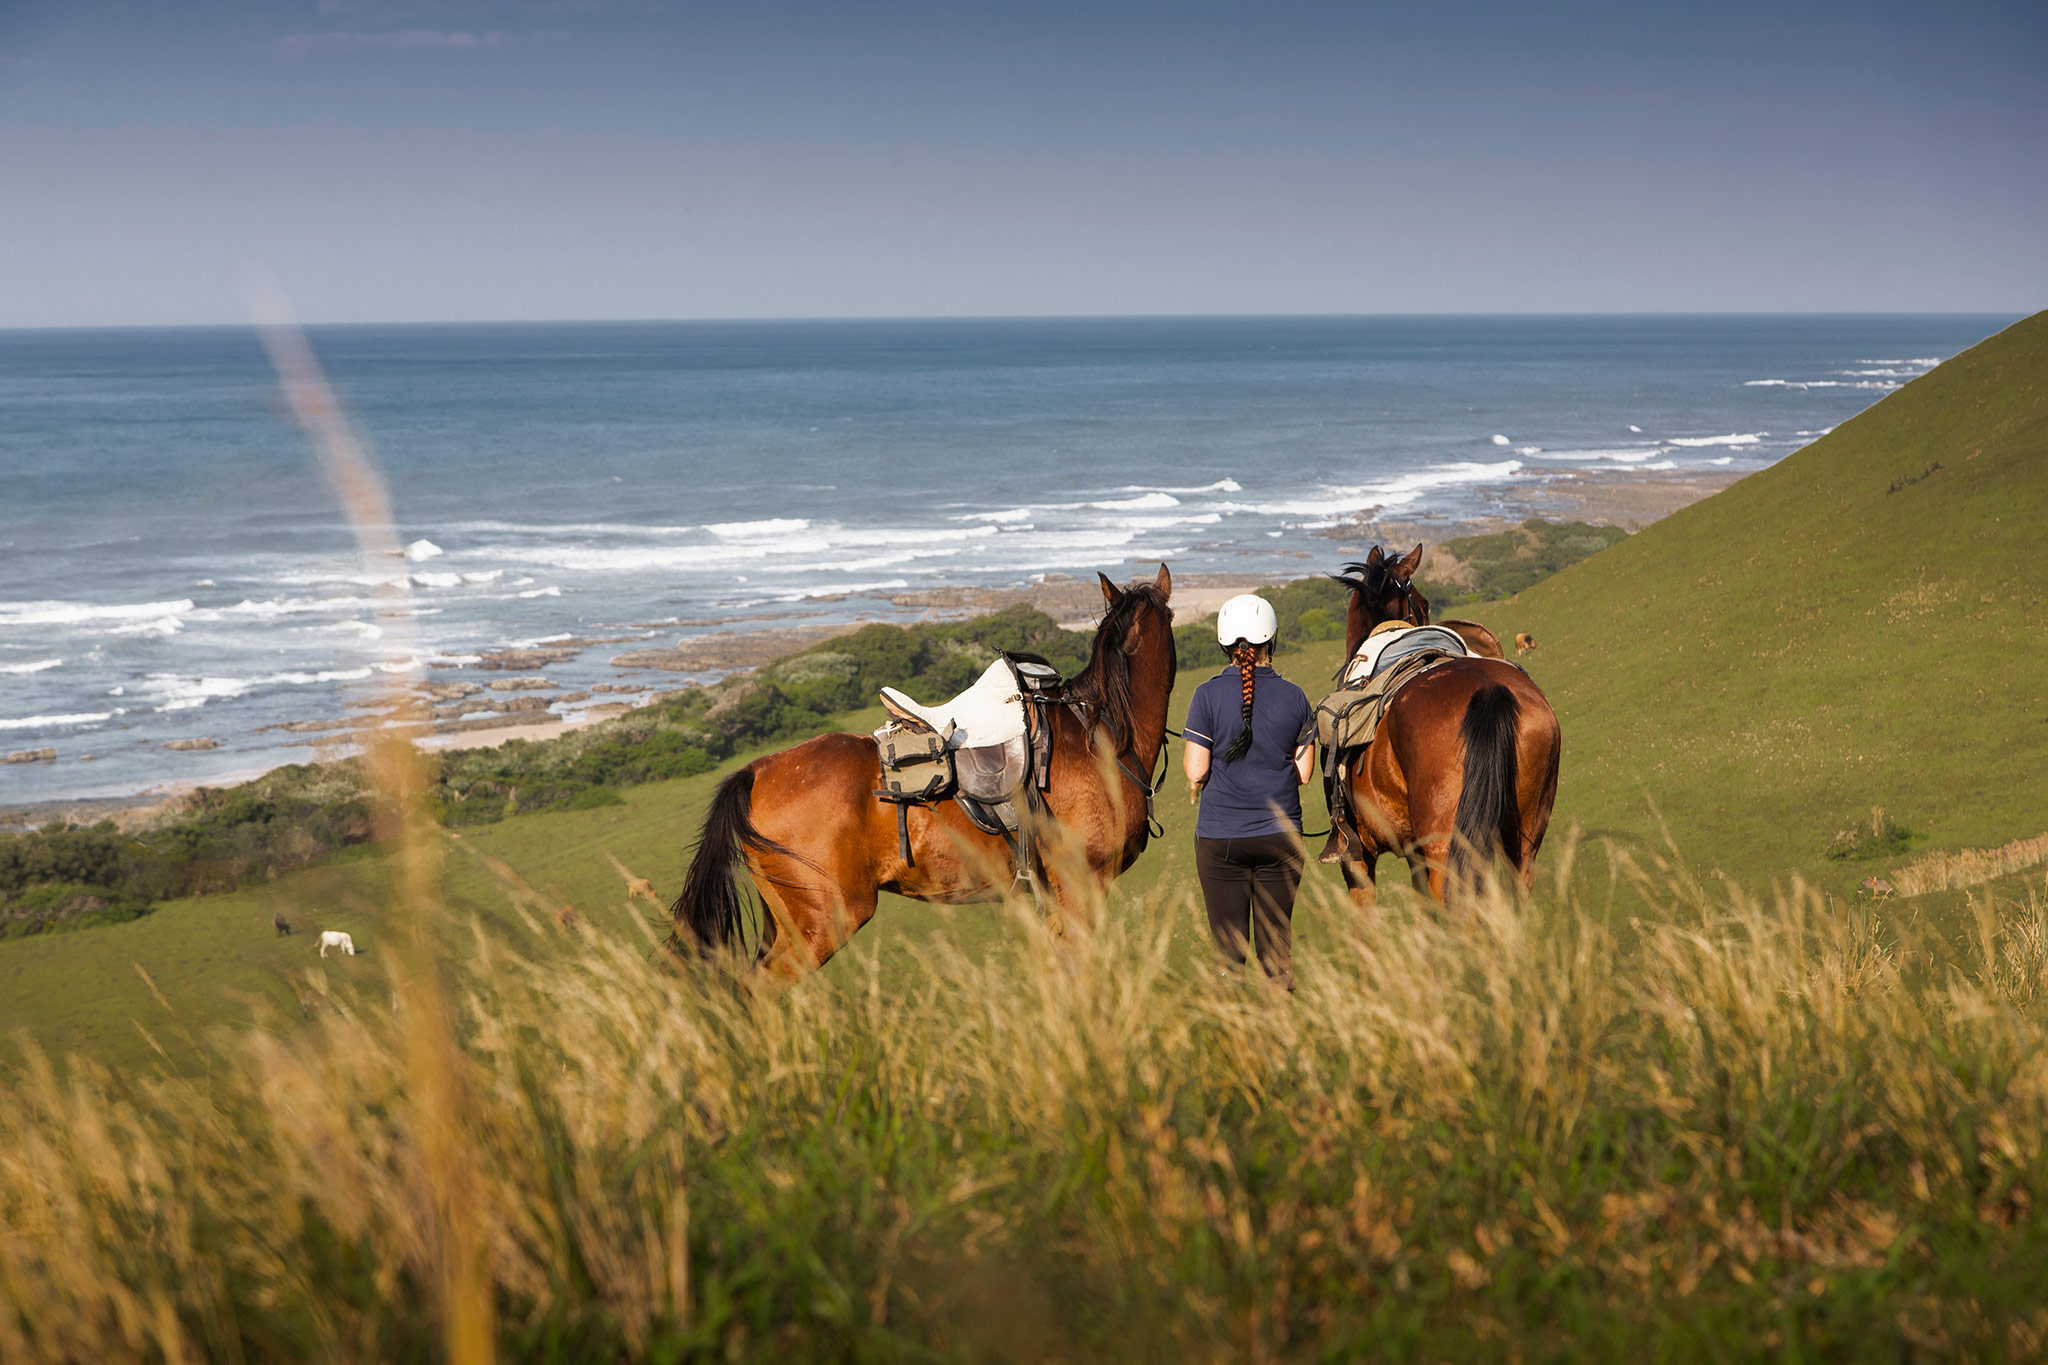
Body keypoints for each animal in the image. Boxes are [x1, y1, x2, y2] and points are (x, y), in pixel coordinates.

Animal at [1318, 556, 1556, 908]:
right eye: (1425, 603)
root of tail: (1488, 688)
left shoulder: (1359, 857)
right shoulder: (1414, 853)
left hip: (1443, 847)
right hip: (1523, 842)